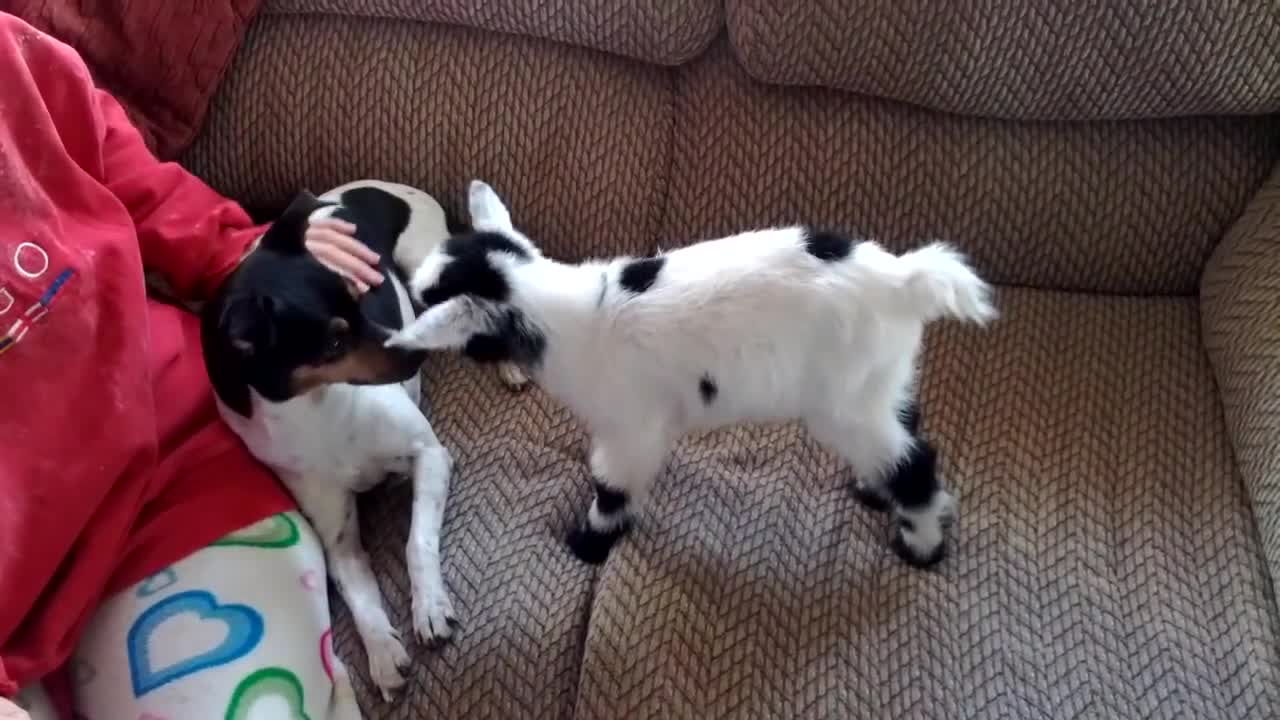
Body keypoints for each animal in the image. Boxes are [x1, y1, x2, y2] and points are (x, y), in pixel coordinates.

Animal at [198, 178, 524, 696]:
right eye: (334, 341)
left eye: (361, 294)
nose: (417, 351)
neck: (318, 412)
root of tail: (382, 185)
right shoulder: (338, 538)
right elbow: (359, 596)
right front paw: (383, 651)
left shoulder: (430, 455)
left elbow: (417, 541)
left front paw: (429, 606)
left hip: (424, 269)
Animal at [384, 179, 993, 566]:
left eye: (428, 300)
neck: (571, 314)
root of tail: (903, 280)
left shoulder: (631, 430)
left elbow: (612, 487)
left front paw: (589, 543)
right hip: (877, 381)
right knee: (904, 432)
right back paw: (875, 490)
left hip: (841, 401)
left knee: (913, 463)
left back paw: (921, 547)